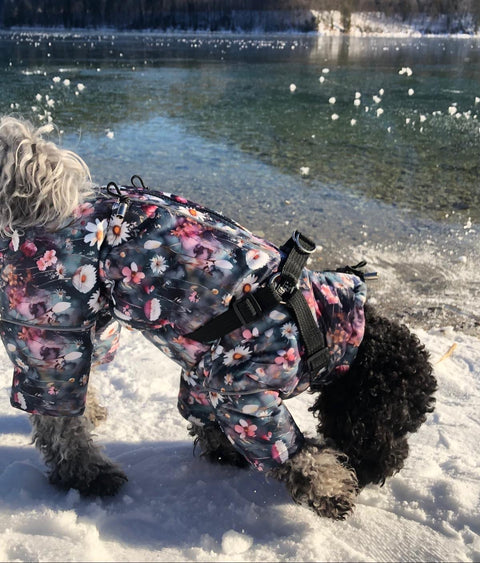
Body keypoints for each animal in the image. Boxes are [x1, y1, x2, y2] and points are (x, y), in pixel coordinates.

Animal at [0, 117, 436, 524]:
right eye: (397, 422)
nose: (384, 471)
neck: (318, 320)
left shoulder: (206, 370)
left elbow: (201, 409)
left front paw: (221, 446)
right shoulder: (246, 390)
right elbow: (289, 450)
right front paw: (329, 488)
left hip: (95, 327)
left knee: (75, 386)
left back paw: (89, 413)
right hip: (50, 328)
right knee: (55, 416)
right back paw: (87, 473)